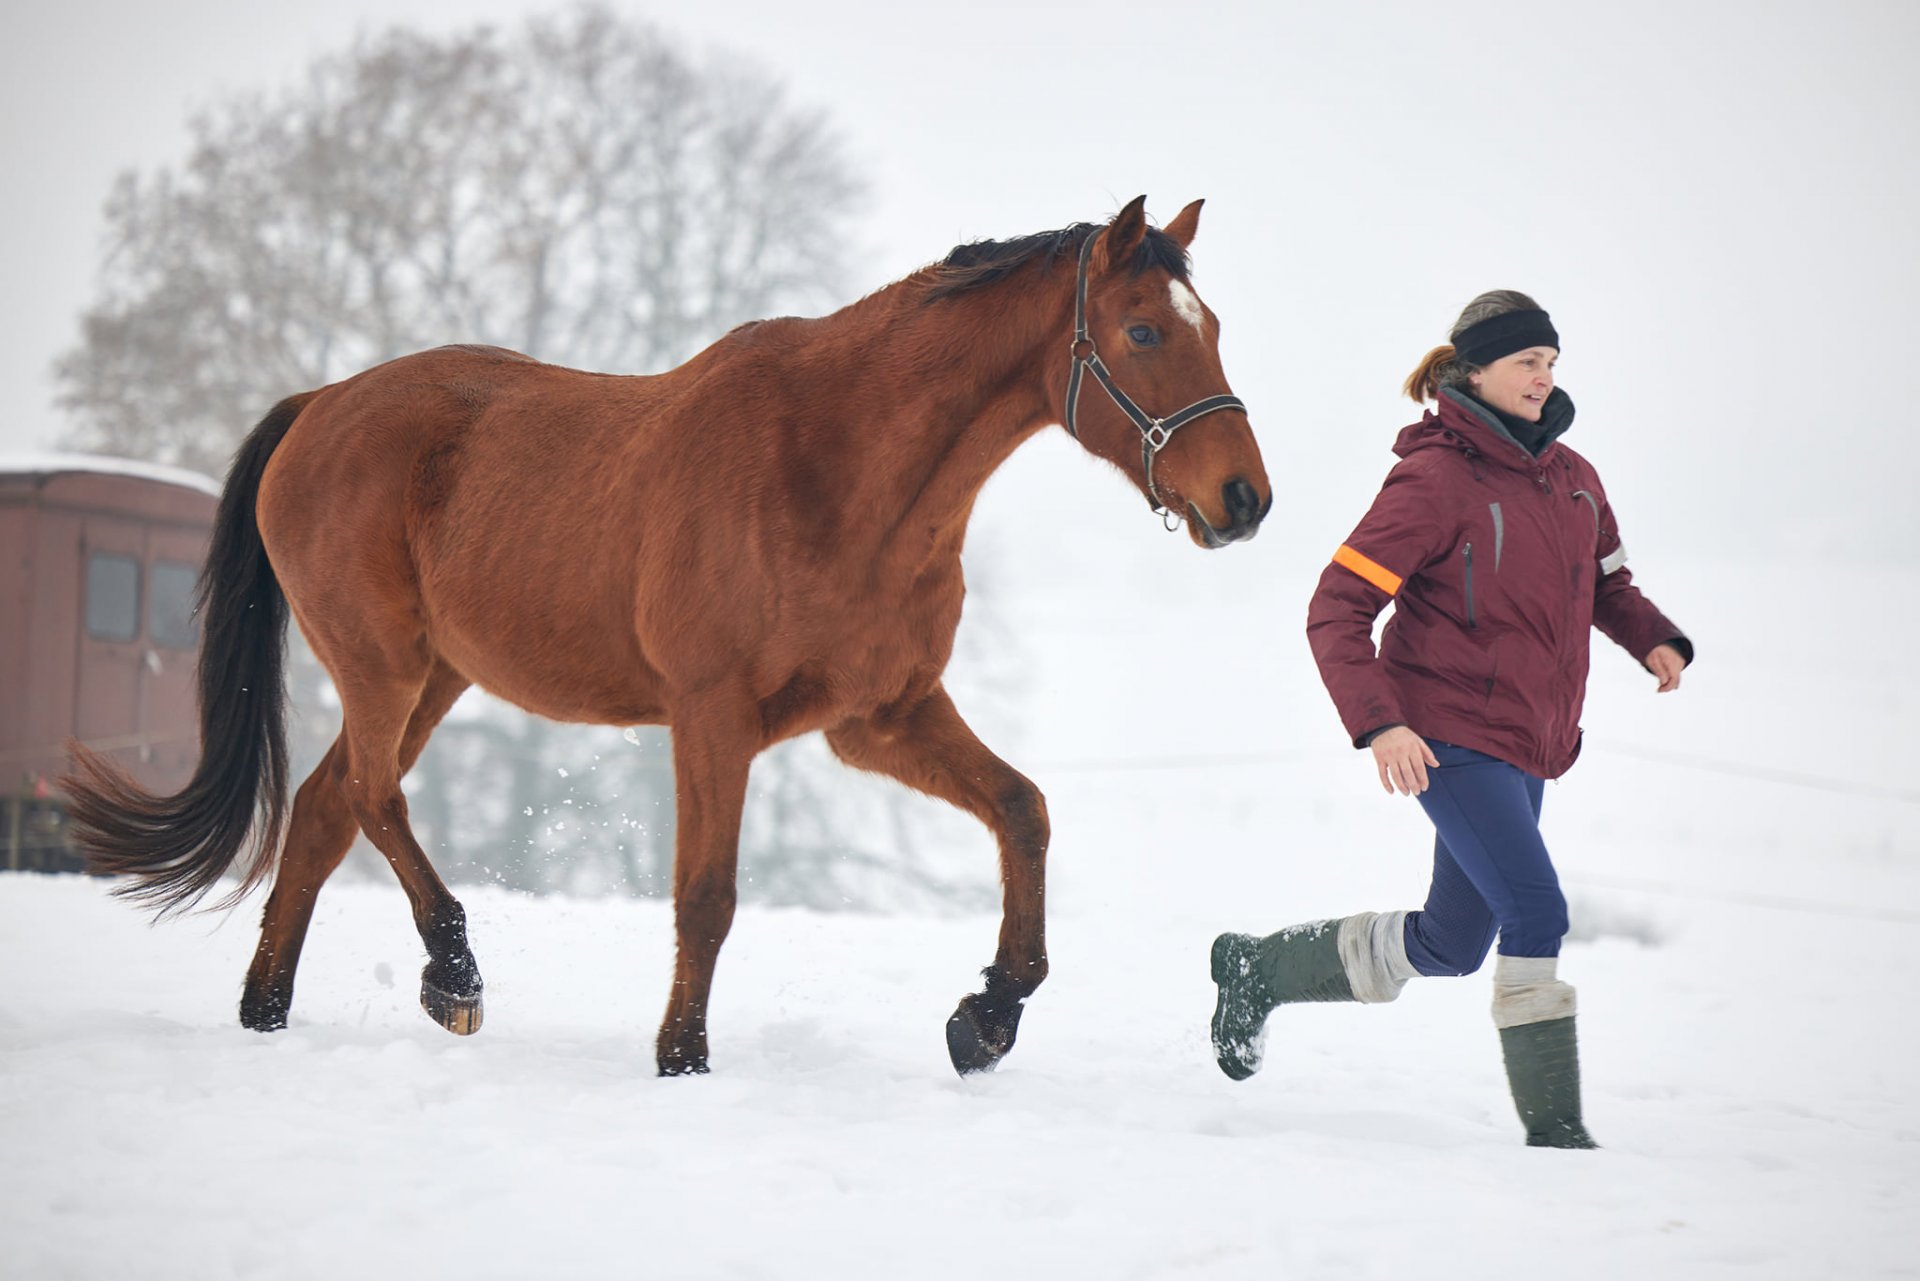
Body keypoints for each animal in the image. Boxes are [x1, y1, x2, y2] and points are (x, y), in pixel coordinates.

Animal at [67, 195, 1274, 1075]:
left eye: (1212, 327)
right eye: (1144, 330)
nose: (1245, 499)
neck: (835, 466)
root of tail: (317, 405)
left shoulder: (880, 718)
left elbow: (1024, 810)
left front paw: (988, 1015)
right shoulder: (713, 716)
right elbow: (707, 895)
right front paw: (682, 1057)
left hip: (438, 678)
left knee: (324, 813)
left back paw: (267, 1014)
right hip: (383, 663)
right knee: (369, 798)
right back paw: (453, 974)